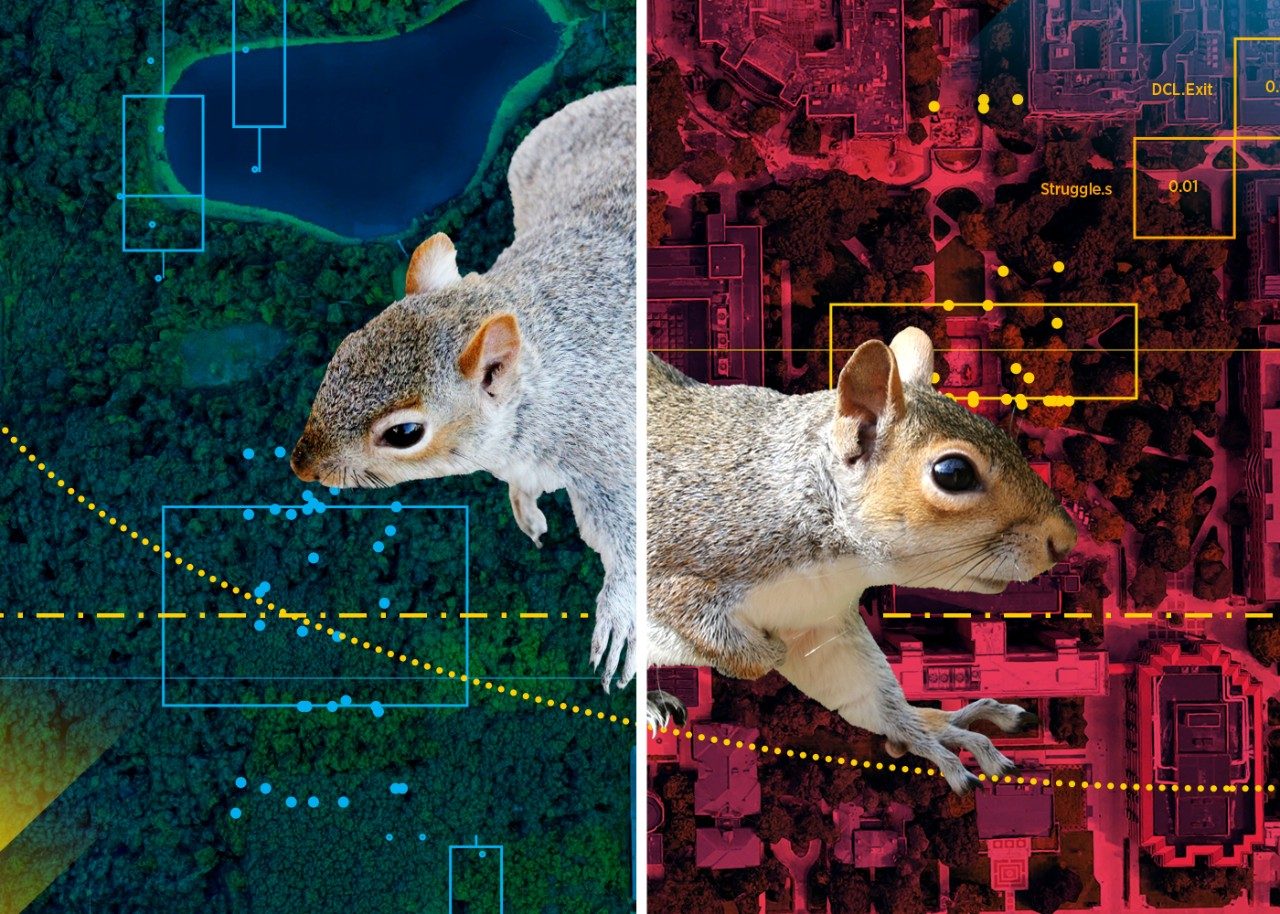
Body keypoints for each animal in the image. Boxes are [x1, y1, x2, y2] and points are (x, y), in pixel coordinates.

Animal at [291, 85, 637, 690]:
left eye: (405, 433)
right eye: (342, 353)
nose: (301, 466)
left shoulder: (611, 448)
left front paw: (619, 620)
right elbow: (523, 485)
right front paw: (527, 511)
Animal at [646, 327, 1077, 792]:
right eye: (954, 472)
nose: (1066, 540)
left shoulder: (818, 624)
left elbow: (862, 689)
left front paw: (926, 730)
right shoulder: (685, 558)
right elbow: (711, 629)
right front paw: (766, 653)